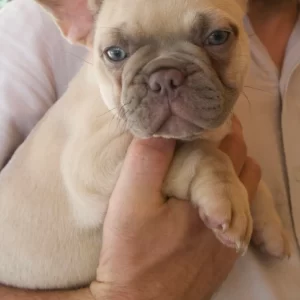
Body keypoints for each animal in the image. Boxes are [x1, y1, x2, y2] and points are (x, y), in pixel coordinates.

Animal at [0, 0, 290, 292]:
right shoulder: (93, 169)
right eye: (115, 53)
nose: (166, 76)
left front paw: (272, 227)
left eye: (218, 37)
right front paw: (226, 194)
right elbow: (202, 153)